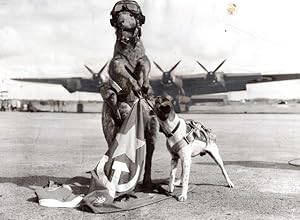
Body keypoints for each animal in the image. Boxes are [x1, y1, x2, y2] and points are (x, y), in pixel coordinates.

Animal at [100, 0, 158, 188]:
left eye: (132, 14)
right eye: (118, 14)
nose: (120, 22)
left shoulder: (143, 59)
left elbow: (144, 65)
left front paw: (143, 83)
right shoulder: (116, 62)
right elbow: (120, 70)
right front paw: (133, 84)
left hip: (151, 131)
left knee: (149, 155)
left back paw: (147, 182)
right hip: (112, 126)